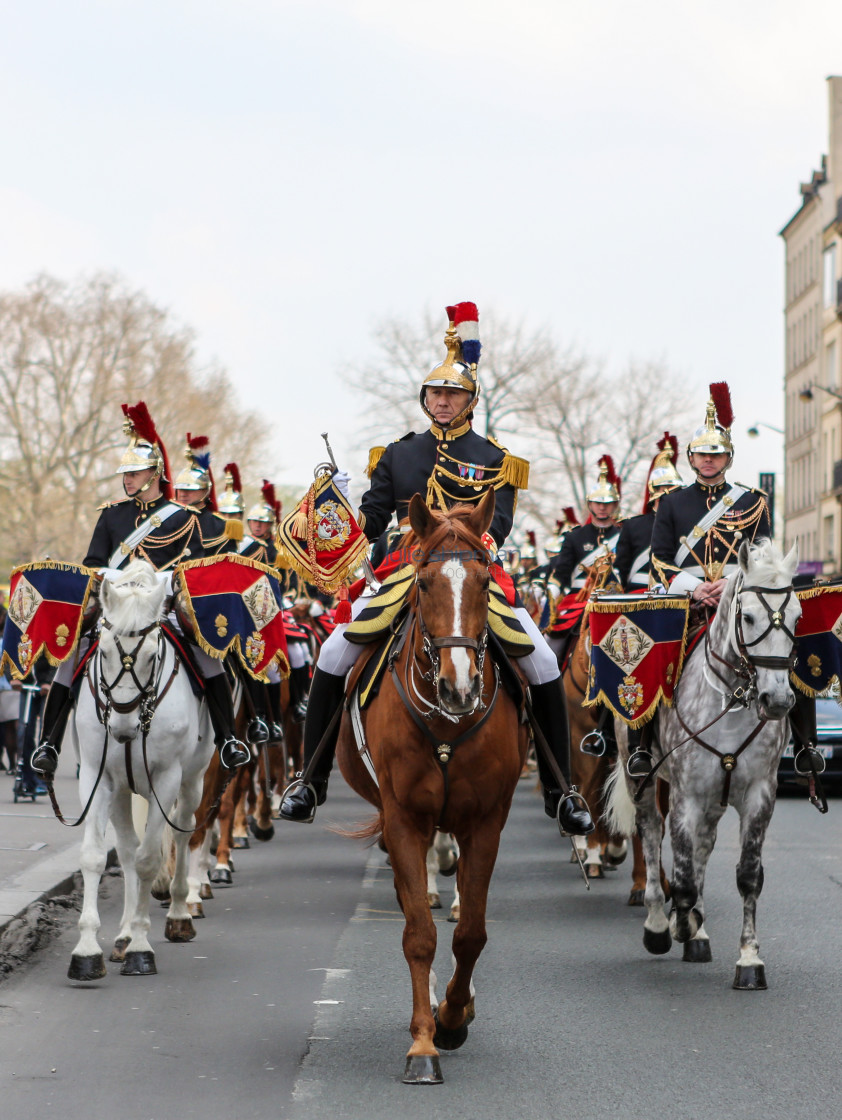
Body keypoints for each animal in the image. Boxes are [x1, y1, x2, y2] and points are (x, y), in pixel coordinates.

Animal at [67, 560, 214, 981]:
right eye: (102, 650)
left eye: (151, 655)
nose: (122, 728)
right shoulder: (99, 780)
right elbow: (97, 857)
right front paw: (88, 951)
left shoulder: (165, 780)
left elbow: (150, 859)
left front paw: (141, 948)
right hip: (122, 791)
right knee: (128, 852)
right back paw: (123, 933)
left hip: (192, 782)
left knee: (183, 833)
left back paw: (179, 912)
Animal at [335, 492, 526, 1084]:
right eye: (421, 583)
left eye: (485, 582)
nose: (458, 687)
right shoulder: (404, 818)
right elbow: (419, 933)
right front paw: (423, 1044)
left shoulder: (486, 821)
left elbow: (472, 933)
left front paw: (454, 1016)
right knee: (409, 901)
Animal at [609, 539, 797, 990]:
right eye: (748, 616)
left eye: (798, 616)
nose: (778, 701)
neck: (731, 700)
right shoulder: (686, 797)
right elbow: (681, 875)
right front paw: (679, 922)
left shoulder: (759, 796)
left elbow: (748, 875)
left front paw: (749, 960)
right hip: (641, 779)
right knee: (652, 835)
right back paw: (660, 923)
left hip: (715, 798)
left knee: (703, 848)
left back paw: (698, 932)